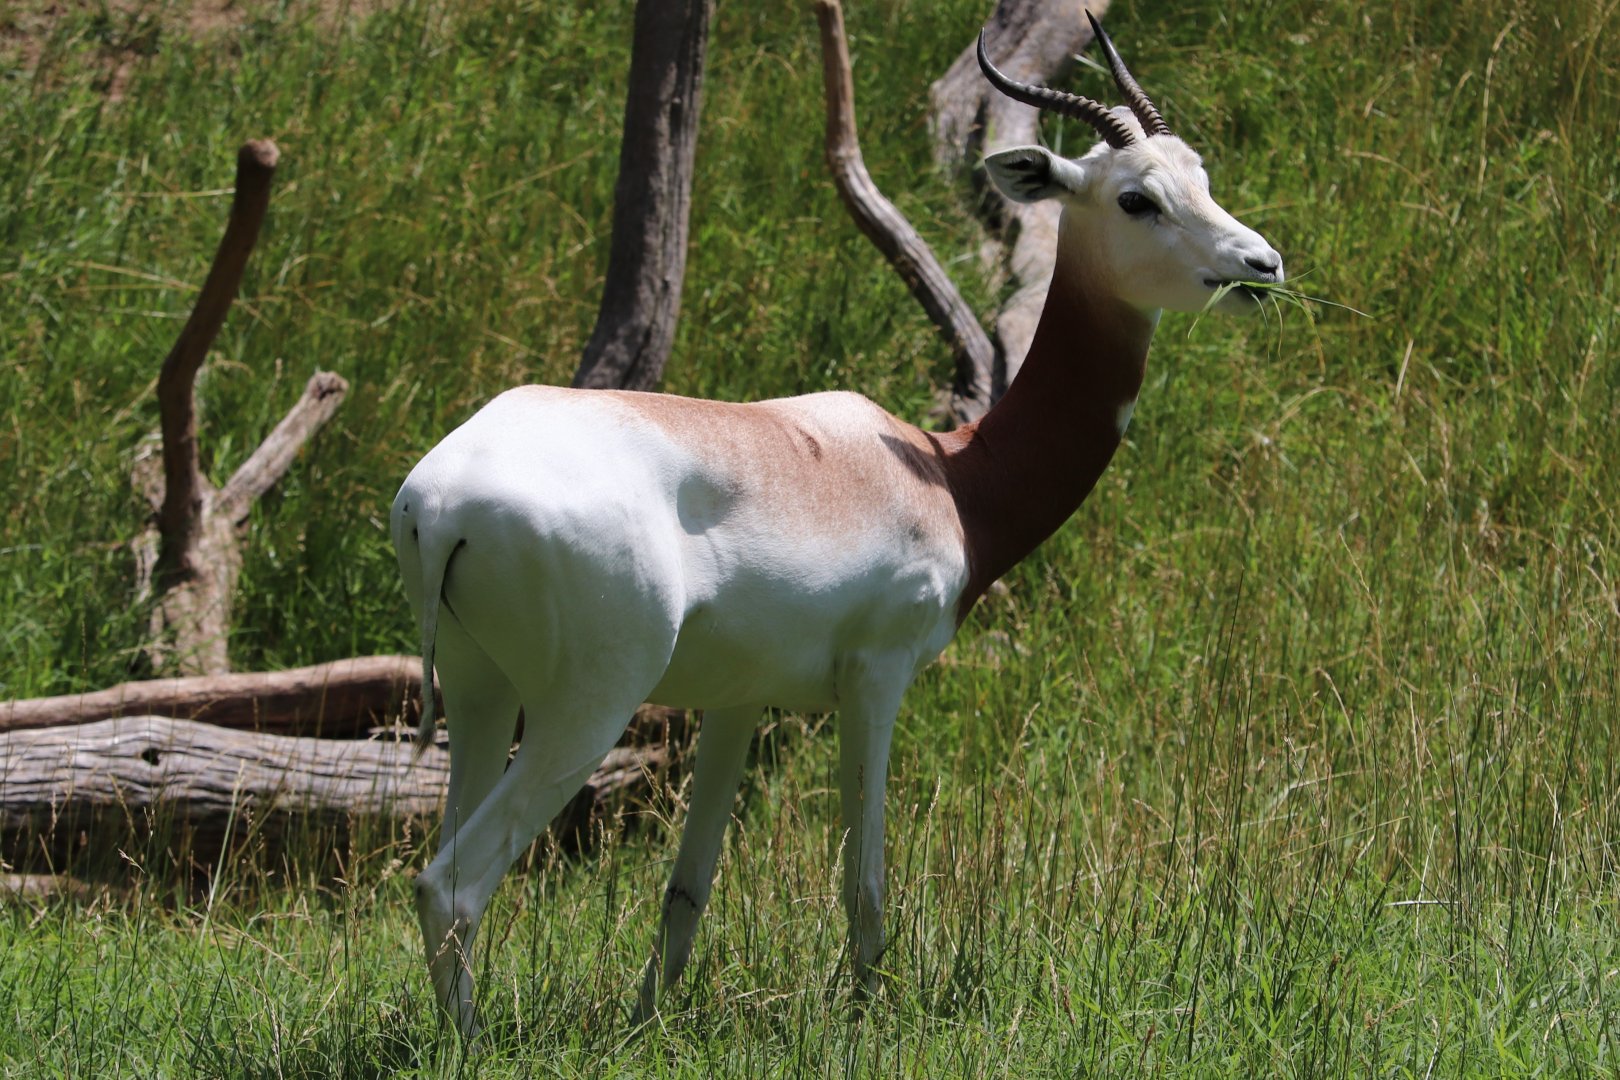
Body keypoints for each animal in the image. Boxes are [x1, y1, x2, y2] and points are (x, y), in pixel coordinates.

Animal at [392, 12, 1282, 1037]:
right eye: (1138, 198)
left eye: (1203, 176)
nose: (1262, 265)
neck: (950, 476)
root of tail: (440, 500)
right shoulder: (877, 677)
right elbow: (865, 876)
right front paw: (866, 1011)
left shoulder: (737, 701)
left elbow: (687, 887)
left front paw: (648, 1020)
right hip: (589, 704)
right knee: (451, 884)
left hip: (480, 691)